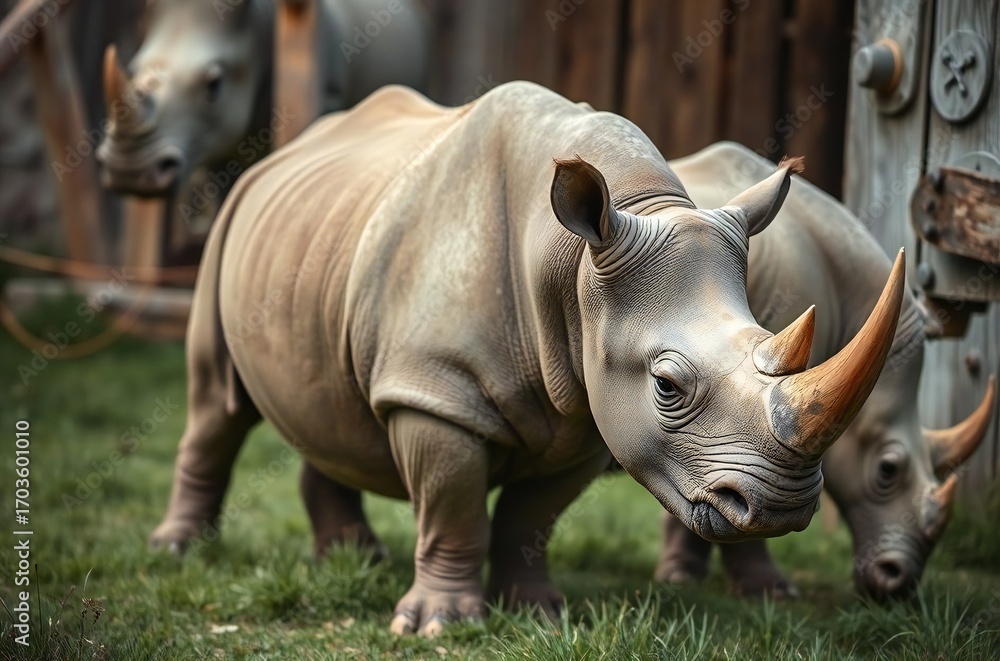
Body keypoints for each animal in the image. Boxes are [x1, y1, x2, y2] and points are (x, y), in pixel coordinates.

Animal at [152, 82, 905, 636]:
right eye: (667, 384)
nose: (780, 506)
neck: (573, 264)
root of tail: (287, 149)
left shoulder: (589, 411)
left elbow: (531, 515)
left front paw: (537, 612)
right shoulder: (437, 391)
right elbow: (453, 500)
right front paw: (439, 626)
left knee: (334, 406)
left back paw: (352, 557)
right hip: (231, 224)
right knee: (216, 403)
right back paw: (179, 553)